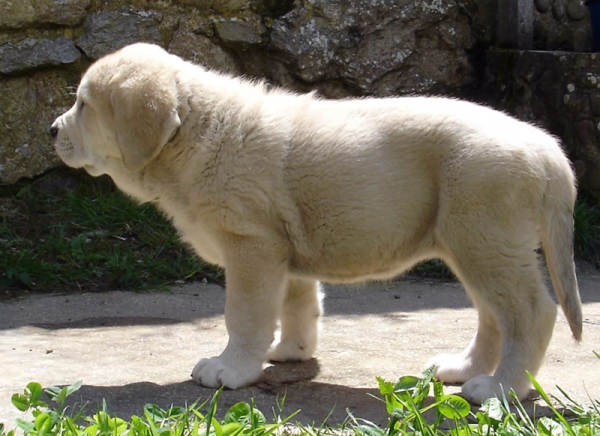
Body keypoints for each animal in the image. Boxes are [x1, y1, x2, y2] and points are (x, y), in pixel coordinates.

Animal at [49, 42, 584, 404]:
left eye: (83, 104)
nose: (52, 130)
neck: (197, 131)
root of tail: (544, 146)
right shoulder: (282, 249)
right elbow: (297, 303)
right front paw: (292, 350)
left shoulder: (251, 245)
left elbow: (244, 315)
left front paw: (230, 369)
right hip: (472, 245)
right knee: (494, 315)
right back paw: (462, 368)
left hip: (485, 238)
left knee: (531, 313)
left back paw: (501, 389)